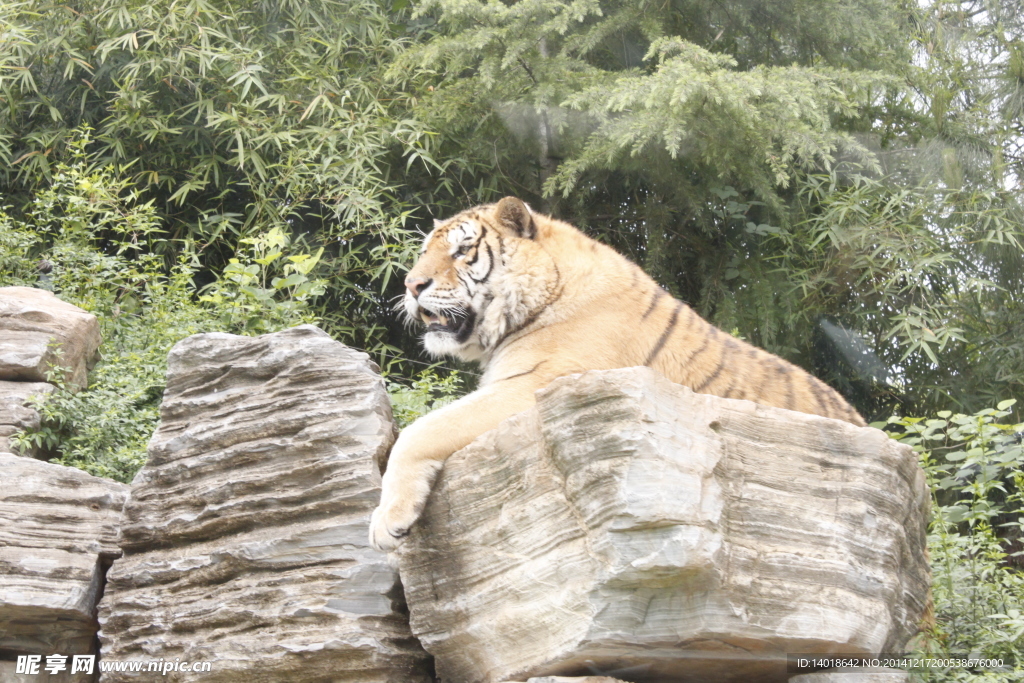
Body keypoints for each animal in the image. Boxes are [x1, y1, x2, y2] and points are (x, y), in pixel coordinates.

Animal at [369, 196, 866, 551]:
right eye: (425, 252)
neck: (547, 293)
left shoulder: (536, 385)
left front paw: (385, 522)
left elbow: (423, 429)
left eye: (462, 250)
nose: (411, 285)